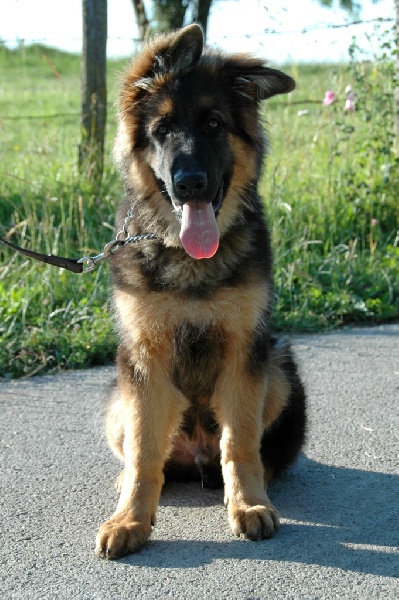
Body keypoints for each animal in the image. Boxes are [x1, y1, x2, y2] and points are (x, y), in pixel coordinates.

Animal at [96, 22, 306, 556]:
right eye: (162, 130)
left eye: (213, 124)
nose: (189, 183)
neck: (190, 260)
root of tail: (194, 456)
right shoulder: (144, 360)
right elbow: (144, 451)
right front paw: (130, 518)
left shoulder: (245, 352)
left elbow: (240, 442)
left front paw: (248, 504)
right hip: (116, 400)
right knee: (149, 454)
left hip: (278, 368)